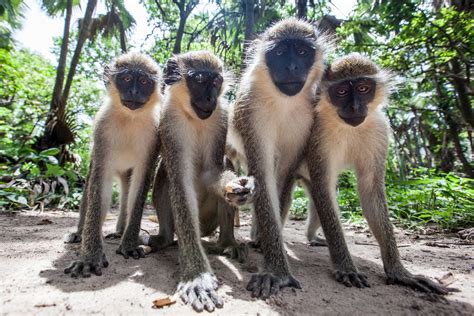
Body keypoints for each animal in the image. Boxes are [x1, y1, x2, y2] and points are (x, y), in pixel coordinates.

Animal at [64, 52, 162, 276]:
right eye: (126, 78)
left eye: (144, 82)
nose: (134, 91)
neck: (130, 117)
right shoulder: (101, 129)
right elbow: (98, 185)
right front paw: (90, 256)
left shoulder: (154, 134)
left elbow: (141, 184)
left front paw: (130, 245)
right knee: (90, 187)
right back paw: (80, 233)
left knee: (127, 191)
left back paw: (120, 232)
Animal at [157, 51, 256, 312]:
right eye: (200, 79)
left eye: (216, 81)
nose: (211, 98)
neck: (193, 117)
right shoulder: (168, 122)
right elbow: (179, 184)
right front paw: (196, 276)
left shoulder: (221, 115)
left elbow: (214, 172)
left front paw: (240, 188)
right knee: (163, 174)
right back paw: (164, 239)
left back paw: (226, 244)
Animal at [228, 19, 328, 298]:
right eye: (281, 52)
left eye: (302, 51)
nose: (291, 67)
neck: (284, 102)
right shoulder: (252, 112)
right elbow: (262, 175)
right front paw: (277, 272)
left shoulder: (307, 120)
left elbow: (283, 177)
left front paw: (270, 251)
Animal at [302, 53, 446, 294]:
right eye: (342, 91)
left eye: (363, 88)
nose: (354, 107)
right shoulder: (318, 134)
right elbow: (323, 186)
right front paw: (346, 266)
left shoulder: (380, 130)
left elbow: (369, 188)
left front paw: (399, 272)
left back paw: (312, 236)